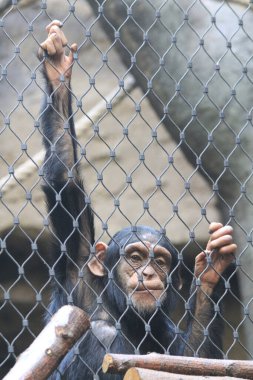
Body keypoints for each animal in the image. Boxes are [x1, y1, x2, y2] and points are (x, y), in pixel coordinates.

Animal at [38, 21, 237, 380]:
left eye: (159, 261)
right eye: (134, 256)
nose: (148, 273)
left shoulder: (167, 337)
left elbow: (195, 362)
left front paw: (212, 272)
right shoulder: (78, 273)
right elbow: (64, 179)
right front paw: (58, 73)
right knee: (102, 334)